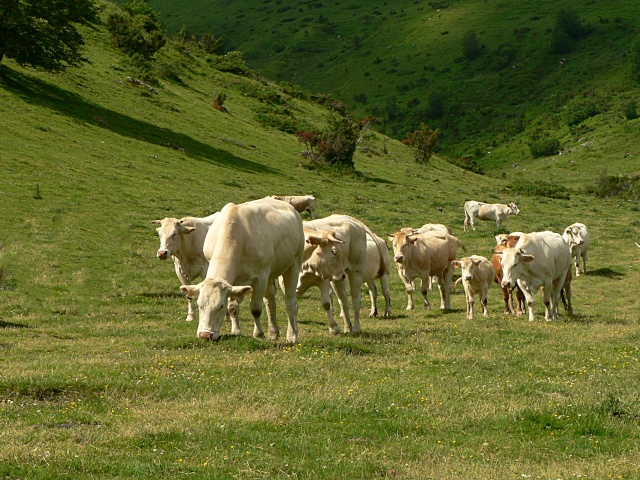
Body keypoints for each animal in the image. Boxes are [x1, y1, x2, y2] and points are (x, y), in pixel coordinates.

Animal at [178, 197, 302, 344]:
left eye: (220, 306)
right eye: (199, 305)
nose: (205, 335)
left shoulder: (261, 277)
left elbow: (255, 308)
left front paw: (258, 334)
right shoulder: (233, 281)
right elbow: (233, 307)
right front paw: (236, 331)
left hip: (294, 263)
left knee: (290, 302)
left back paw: (292, 336)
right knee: (270, 300)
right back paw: (273, 333)